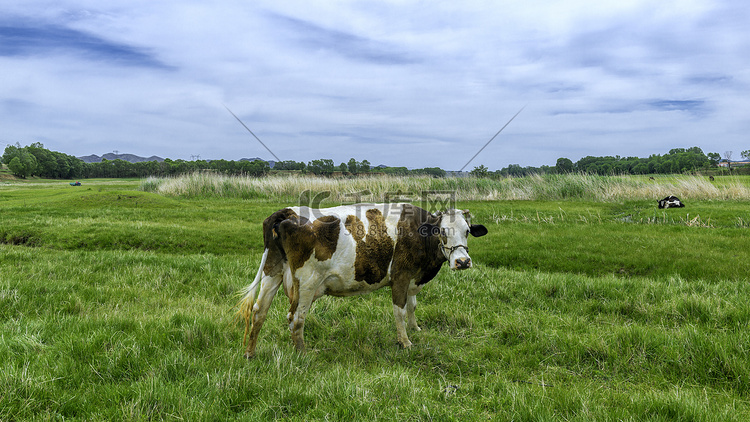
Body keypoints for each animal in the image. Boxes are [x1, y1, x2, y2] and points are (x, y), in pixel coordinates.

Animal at [238, 203, 490, 358]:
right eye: (442, 231)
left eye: (467, 231)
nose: (462, 261)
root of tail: (288, 212)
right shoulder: (400, 276)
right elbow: (399, 310)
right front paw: (405, 342)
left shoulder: (412, 278)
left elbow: (412, 306)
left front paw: (415, 328)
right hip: (307, 282)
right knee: (295, 317)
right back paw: (302, 354)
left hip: (273, 272)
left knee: (260, 311)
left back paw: (250, 353)